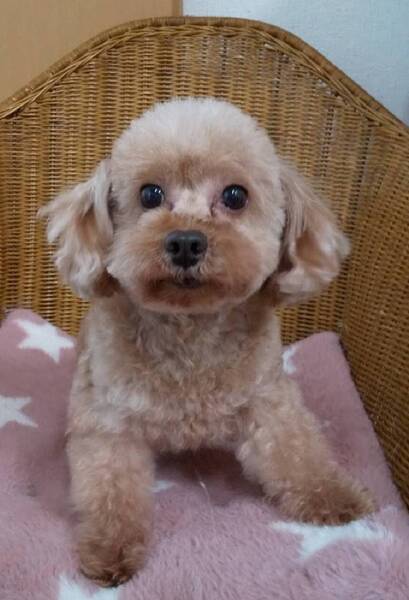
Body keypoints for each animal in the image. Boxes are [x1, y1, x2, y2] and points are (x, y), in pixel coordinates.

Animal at [41, 98, 375, 587]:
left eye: (235, 196)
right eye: (149, 194)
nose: (185, 242)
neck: (190, 331)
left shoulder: (269, 400)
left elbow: (297, 451)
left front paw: (335, 498)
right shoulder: (107, 420)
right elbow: (110, 486)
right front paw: (110, 548)